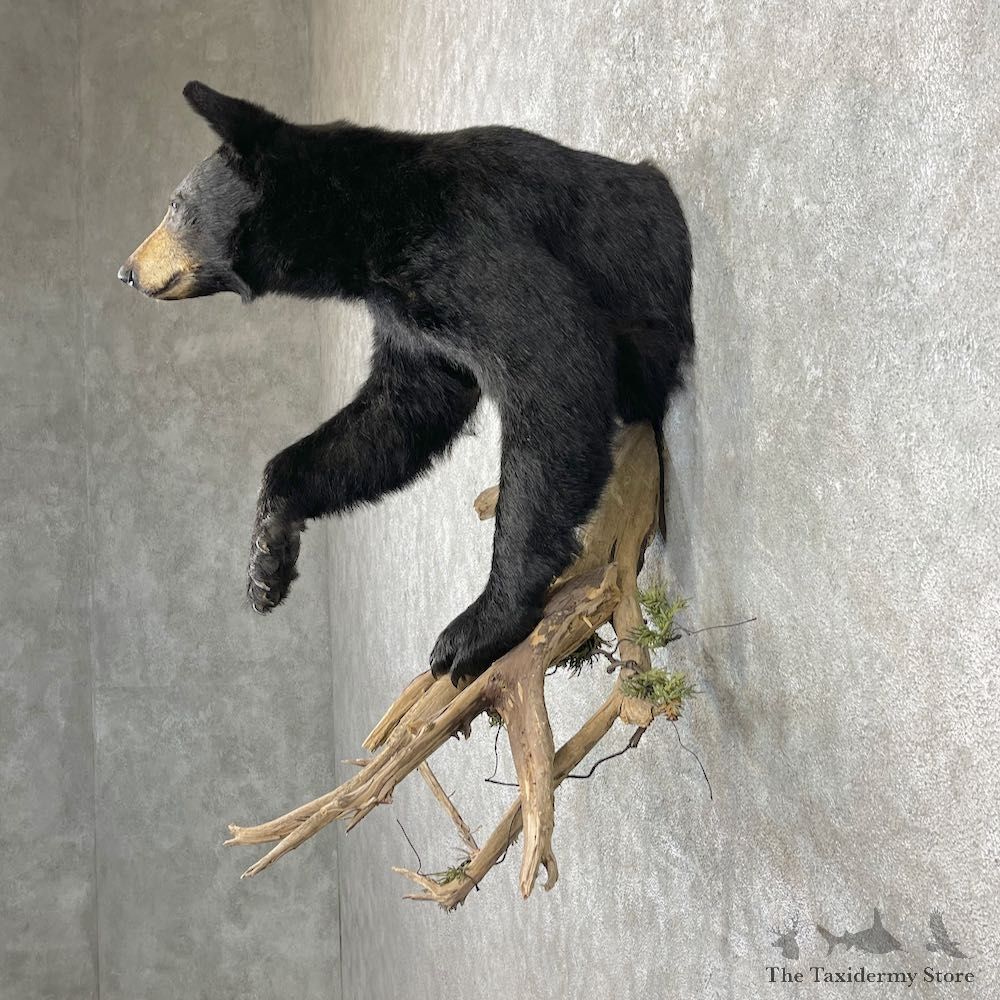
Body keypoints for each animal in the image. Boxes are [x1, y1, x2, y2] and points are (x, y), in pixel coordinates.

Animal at [118, 82, 694, 685]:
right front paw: (266, 558)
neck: (362, 226)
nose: (127, 270)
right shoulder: (407, 318)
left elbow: (553, 367)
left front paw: (476, 627)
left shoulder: (467, 244)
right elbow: (400, 412)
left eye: (174, 206)